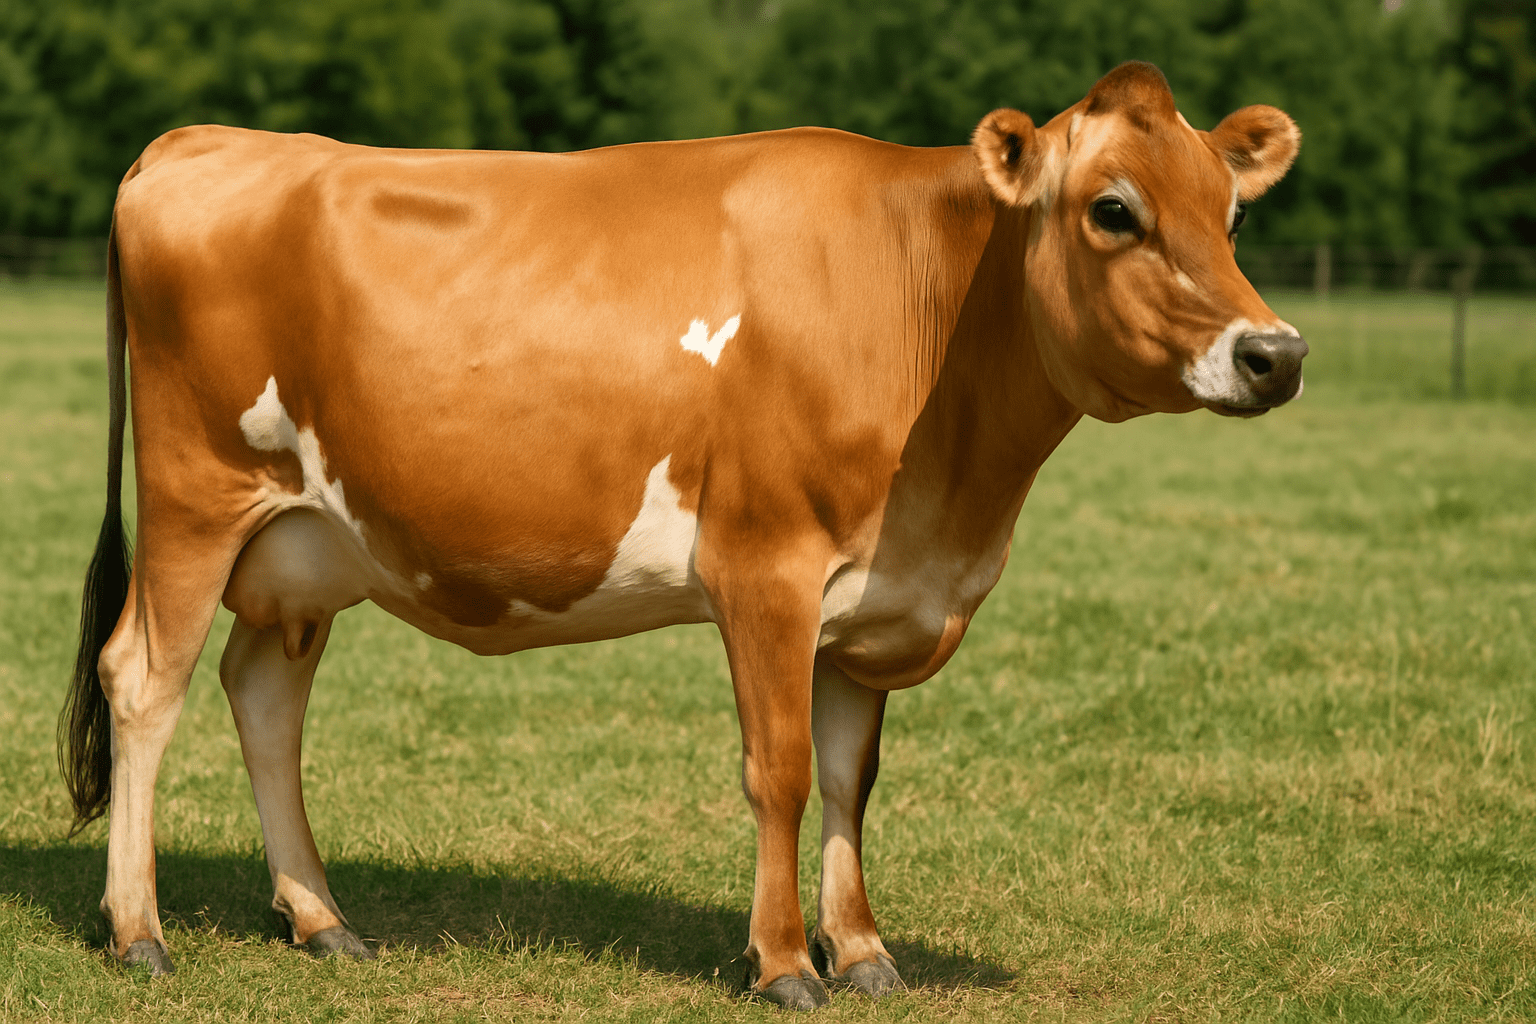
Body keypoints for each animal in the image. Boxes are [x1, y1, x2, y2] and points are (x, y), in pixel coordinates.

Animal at [59, 62, 1305, 1008]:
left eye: (1233, 214)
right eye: (1113, 210)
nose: (1275, 353)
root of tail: (199, 140)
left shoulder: (877, 597)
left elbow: (852, 775)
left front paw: (863, 949)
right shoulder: (766, 567)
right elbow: (783, 768)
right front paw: (787, 962)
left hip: (311, 543)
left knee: (265, 695)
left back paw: (321, 918)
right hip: (198, 497)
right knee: (144, 678)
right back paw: (137, 929)